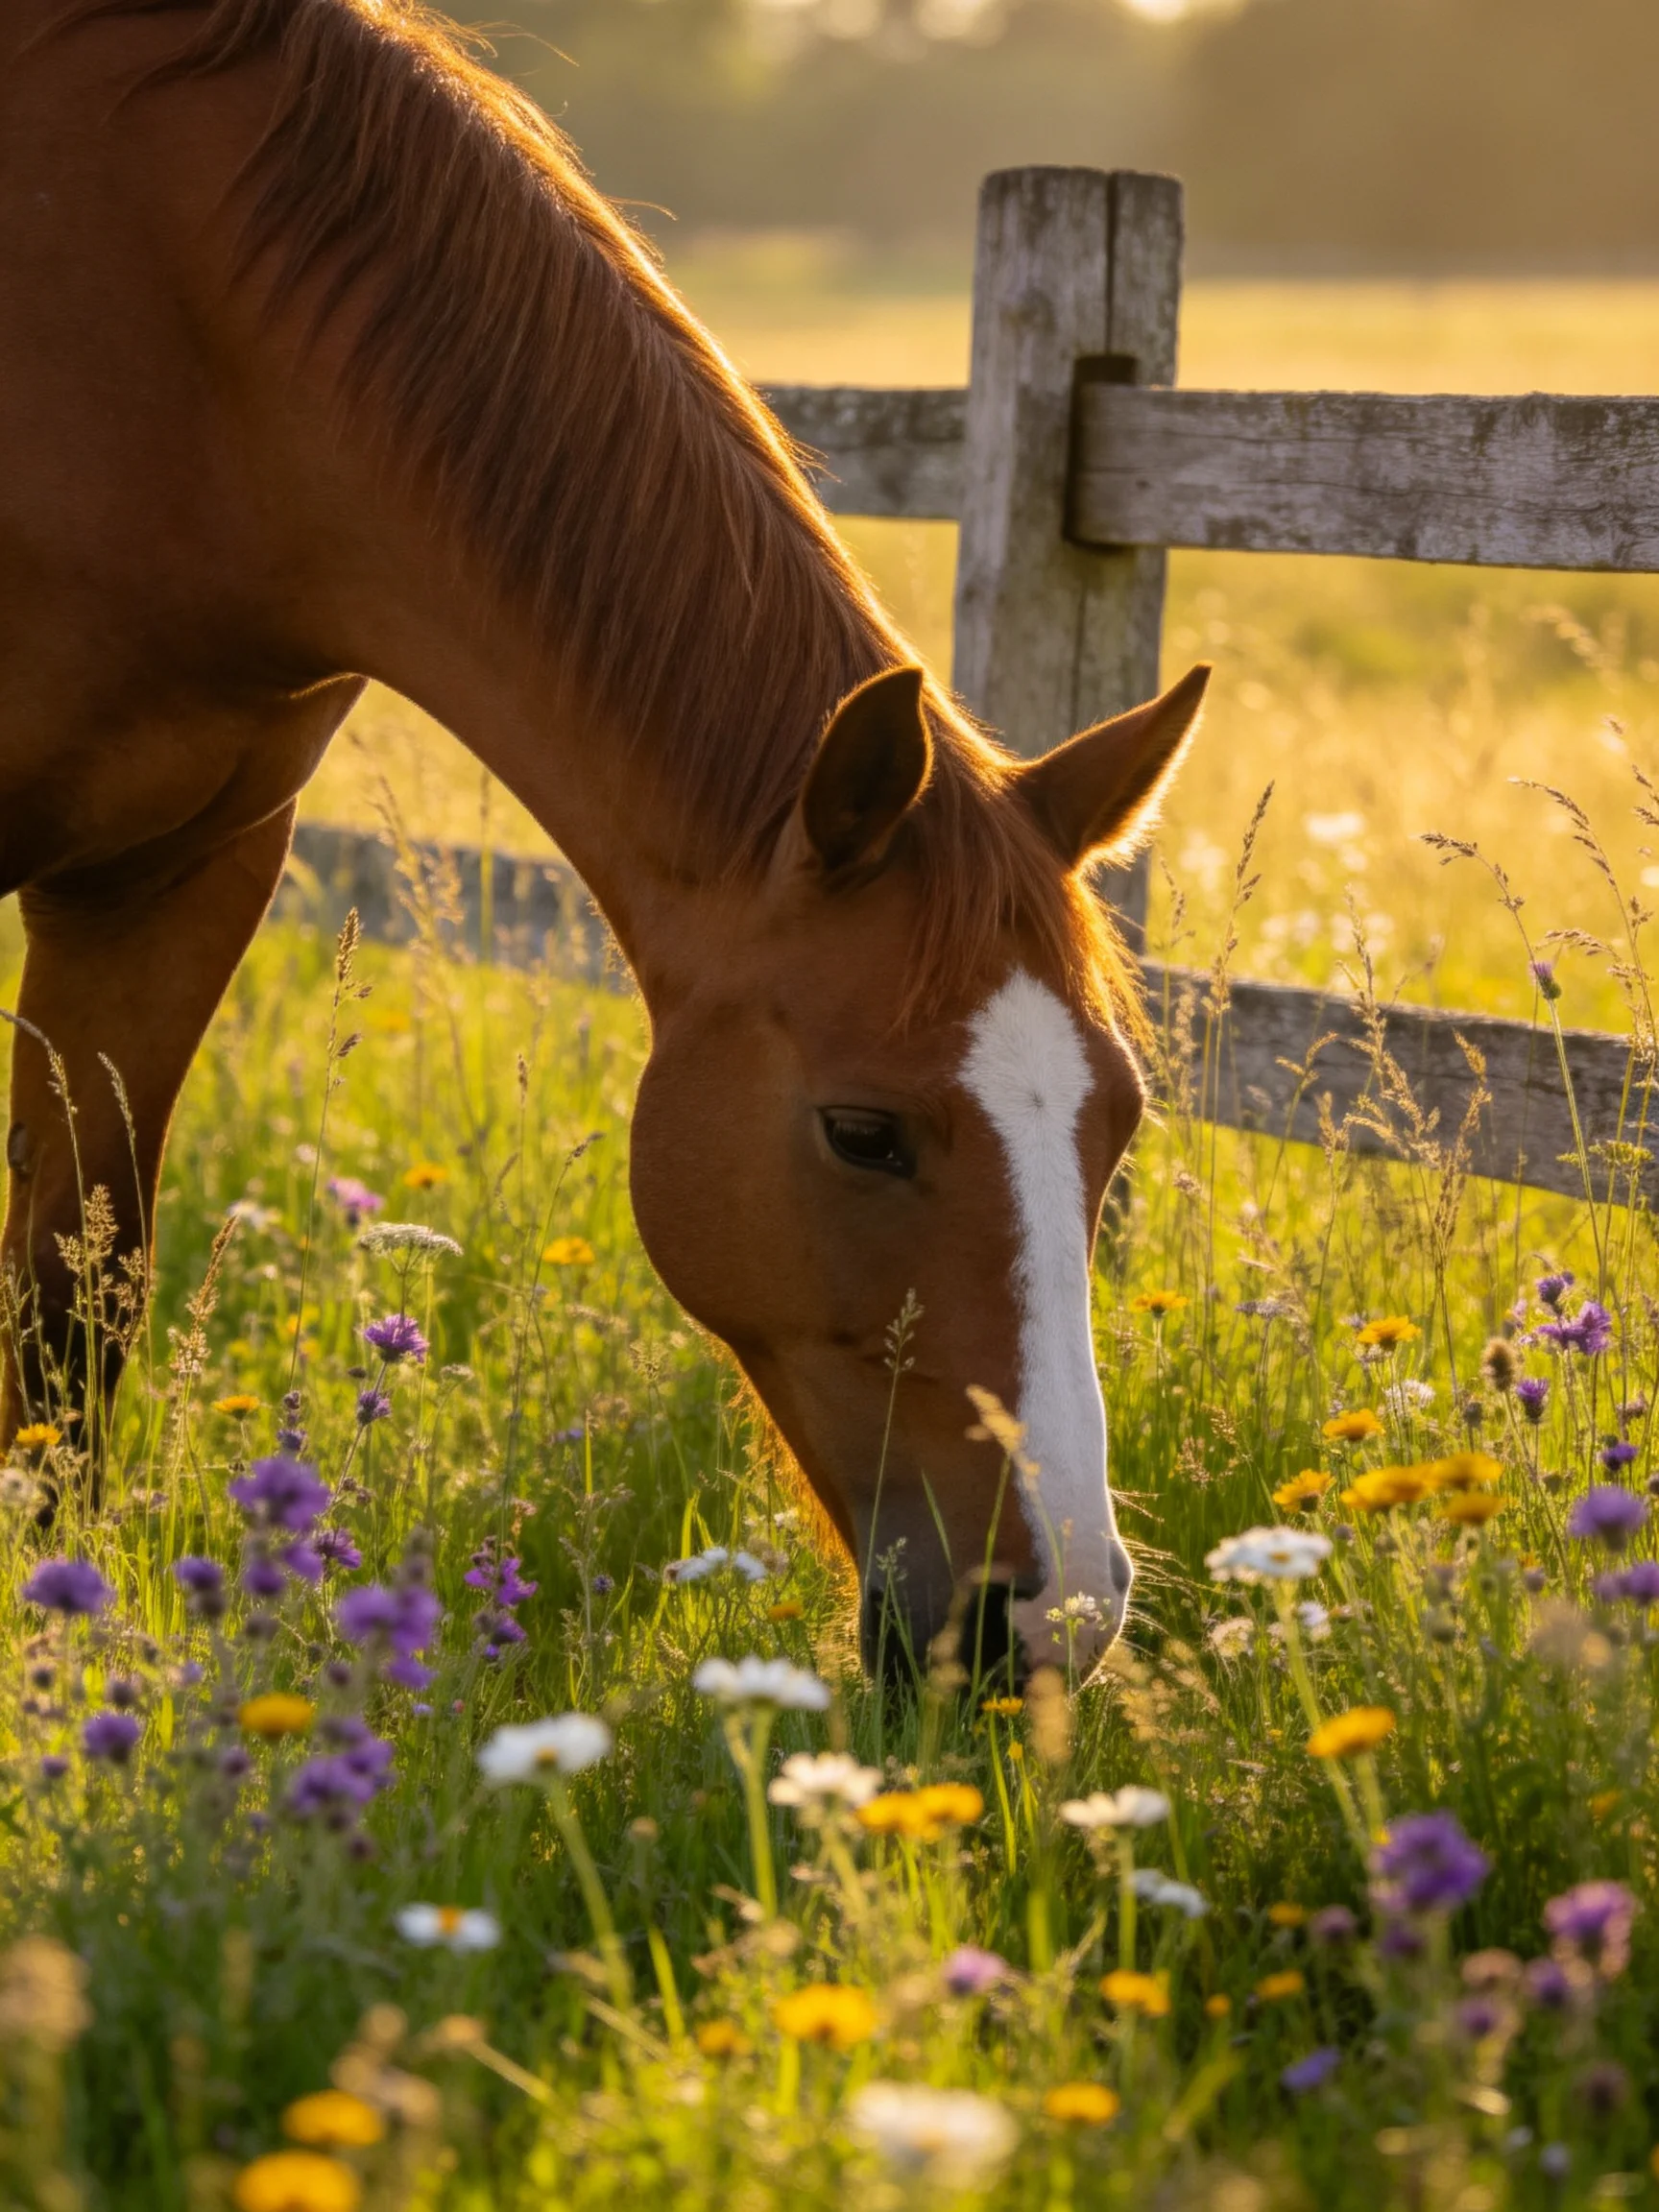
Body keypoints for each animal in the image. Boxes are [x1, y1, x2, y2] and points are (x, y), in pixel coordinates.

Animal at [0, 0, 1206, 1677]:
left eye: (1119, 1122)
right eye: (862, 1132)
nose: (1051, 1618)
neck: (164, 338)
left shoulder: (177, 876)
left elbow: (70, 1305)